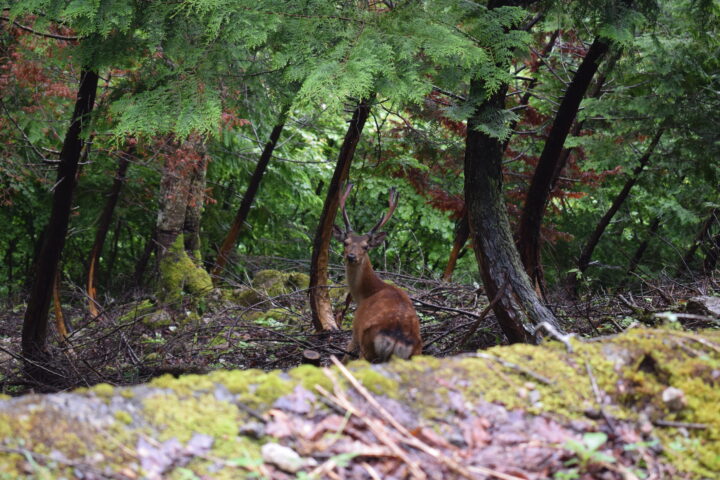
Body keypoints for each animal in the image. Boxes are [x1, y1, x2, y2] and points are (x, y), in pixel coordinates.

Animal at [332, 185, 422, 364]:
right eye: (345, 243)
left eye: (366, 246)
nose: (351, 256)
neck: (366, 293)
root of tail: (397, 338)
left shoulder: (355, 327)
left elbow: (346, 355)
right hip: (417, 354)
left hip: (367, 347)